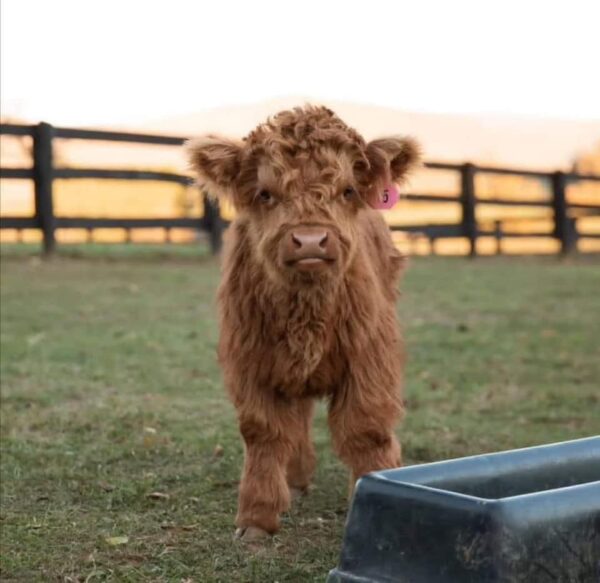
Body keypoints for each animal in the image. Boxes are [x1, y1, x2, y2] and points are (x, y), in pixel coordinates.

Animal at [186, 106, 418, 544]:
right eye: (265, 193)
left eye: (347, 190)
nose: (310, 241)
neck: (307, 315)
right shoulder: (251, 361)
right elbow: (264, 432)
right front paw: (256, 519)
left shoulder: (369, 358)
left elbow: (367, 430)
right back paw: (294, 478)